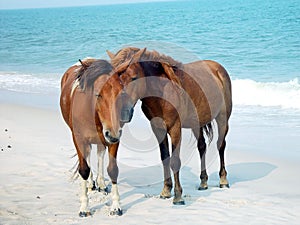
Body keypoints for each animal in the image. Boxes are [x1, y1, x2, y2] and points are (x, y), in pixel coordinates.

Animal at [59, 58, 135, 216]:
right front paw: (84, 208)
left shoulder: (113, 139)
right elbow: (84, 169)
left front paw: (116, 206)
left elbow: (113, 169)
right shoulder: (79, 139)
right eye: (98, 94)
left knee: (99, 154)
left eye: (121, 93)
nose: (112, 133)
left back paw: (100, 184)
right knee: (87, 157)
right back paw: (90, 183)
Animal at [108, 48, 232, 206]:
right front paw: (166, 190)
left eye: (134, 78)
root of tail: (218, 69)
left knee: (220, 145)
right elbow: (165, 157)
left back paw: (223, 180)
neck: (162, 93)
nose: (123, 112)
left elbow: (175, 160)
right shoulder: (158, 129)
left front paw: (178, 196)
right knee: (202, 146)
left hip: (222, 118)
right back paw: (203, 182)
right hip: (196, 124)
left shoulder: (175, 128)